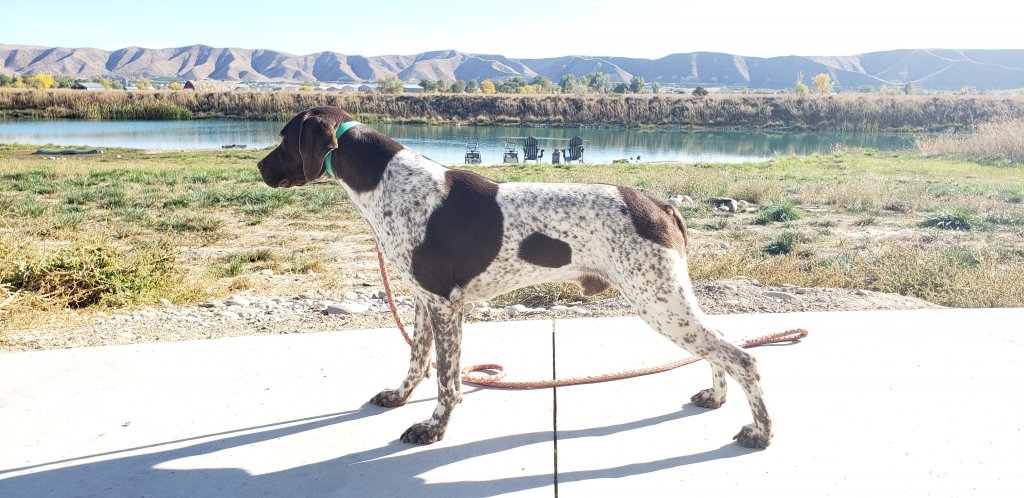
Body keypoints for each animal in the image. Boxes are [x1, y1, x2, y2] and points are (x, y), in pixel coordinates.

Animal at [260, 107, 770, 448]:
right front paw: (401, 397)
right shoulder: (424, 301)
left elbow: (447, 381)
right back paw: (716, 397)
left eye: (284, 139)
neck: (387, 182)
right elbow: (417, 361)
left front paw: (434, 428)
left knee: (741, 357)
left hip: (660, 301)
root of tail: (660, 204)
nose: (262, 167)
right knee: (721, 348)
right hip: (669, 301)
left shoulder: (446, 304)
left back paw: (759, 432)